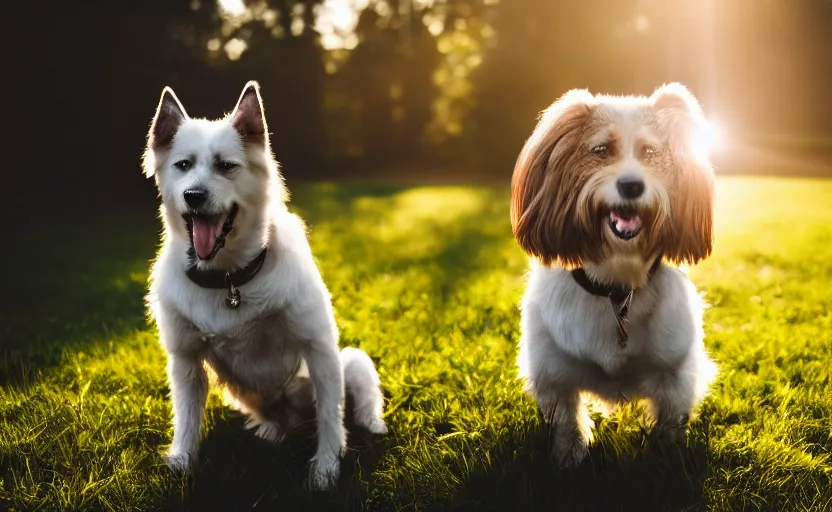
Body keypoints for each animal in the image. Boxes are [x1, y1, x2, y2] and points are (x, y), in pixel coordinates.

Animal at [142, 80, 386, 488]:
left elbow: (330, 418)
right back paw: (272, 429)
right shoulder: (186, 361)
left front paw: (326, 469)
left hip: (349, 360)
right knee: (276, 419)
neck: (230, 279)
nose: (194, 195)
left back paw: (372, 422)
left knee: (359, 396)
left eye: (226, 166)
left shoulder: (319, 349)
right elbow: (187, 420)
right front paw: (181, 463)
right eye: (183, 166)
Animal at [510, 83, 720, 464]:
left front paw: (666, 457)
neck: (616, 285)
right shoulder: (553, 370)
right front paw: (568, 456)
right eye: (601, 150)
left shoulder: (676, 372)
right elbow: (565, 421)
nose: (632, 185)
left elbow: (671, 421)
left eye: (650, 151)